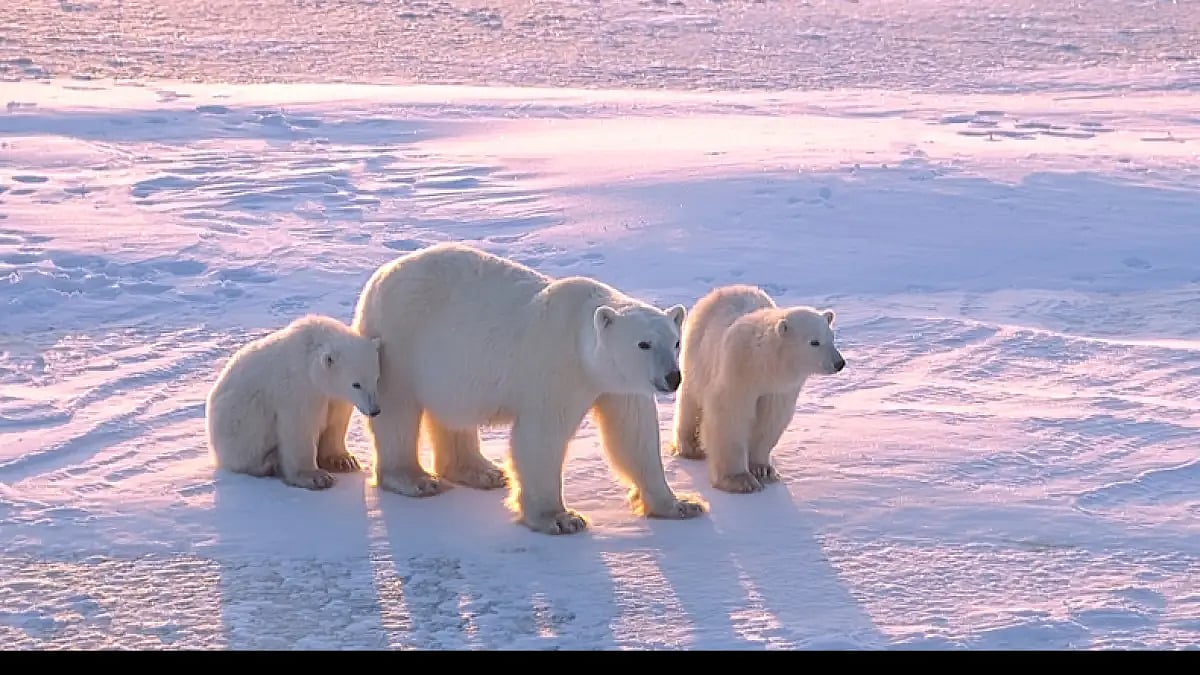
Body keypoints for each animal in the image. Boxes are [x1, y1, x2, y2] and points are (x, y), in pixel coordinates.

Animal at [205, 313, 383, 490]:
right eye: (356, 384)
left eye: (376, 378)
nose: (374, 410)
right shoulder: (298, 388)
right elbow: (299, 427)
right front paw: (317, 477)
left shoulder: (334, 396)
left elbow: (336, 421)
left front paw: (344, 460)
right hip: (238, 423)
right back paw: (270, 463)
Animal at [323, 242, 707, 535]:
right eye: (643, 344)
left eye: (675, 342)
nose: (672, 378)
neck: (580, 337)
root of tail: (378, 277)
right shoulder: (557, 368)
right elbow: (541, 437)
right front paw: (560, 518)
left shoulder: (618, 386)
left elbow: (634, 436)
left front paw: (681, 504)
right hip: (401, 342)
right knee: (398, 411)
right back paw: (416, 479)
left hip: (451, 362)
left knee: (453, 413)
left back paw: (483, 471)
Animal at [669, 284, 845, 494]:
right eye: (814, 342)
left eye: (832, 337)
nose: (839, 363)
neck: (762, 366)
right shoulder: (737, 372)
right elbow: (730, 416)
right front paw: (739, 480)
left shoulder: (778, 390)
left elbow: (770, 420)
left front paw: (763, 470)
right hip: (697, 351)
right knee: (690, 398)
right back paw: (690, 447)